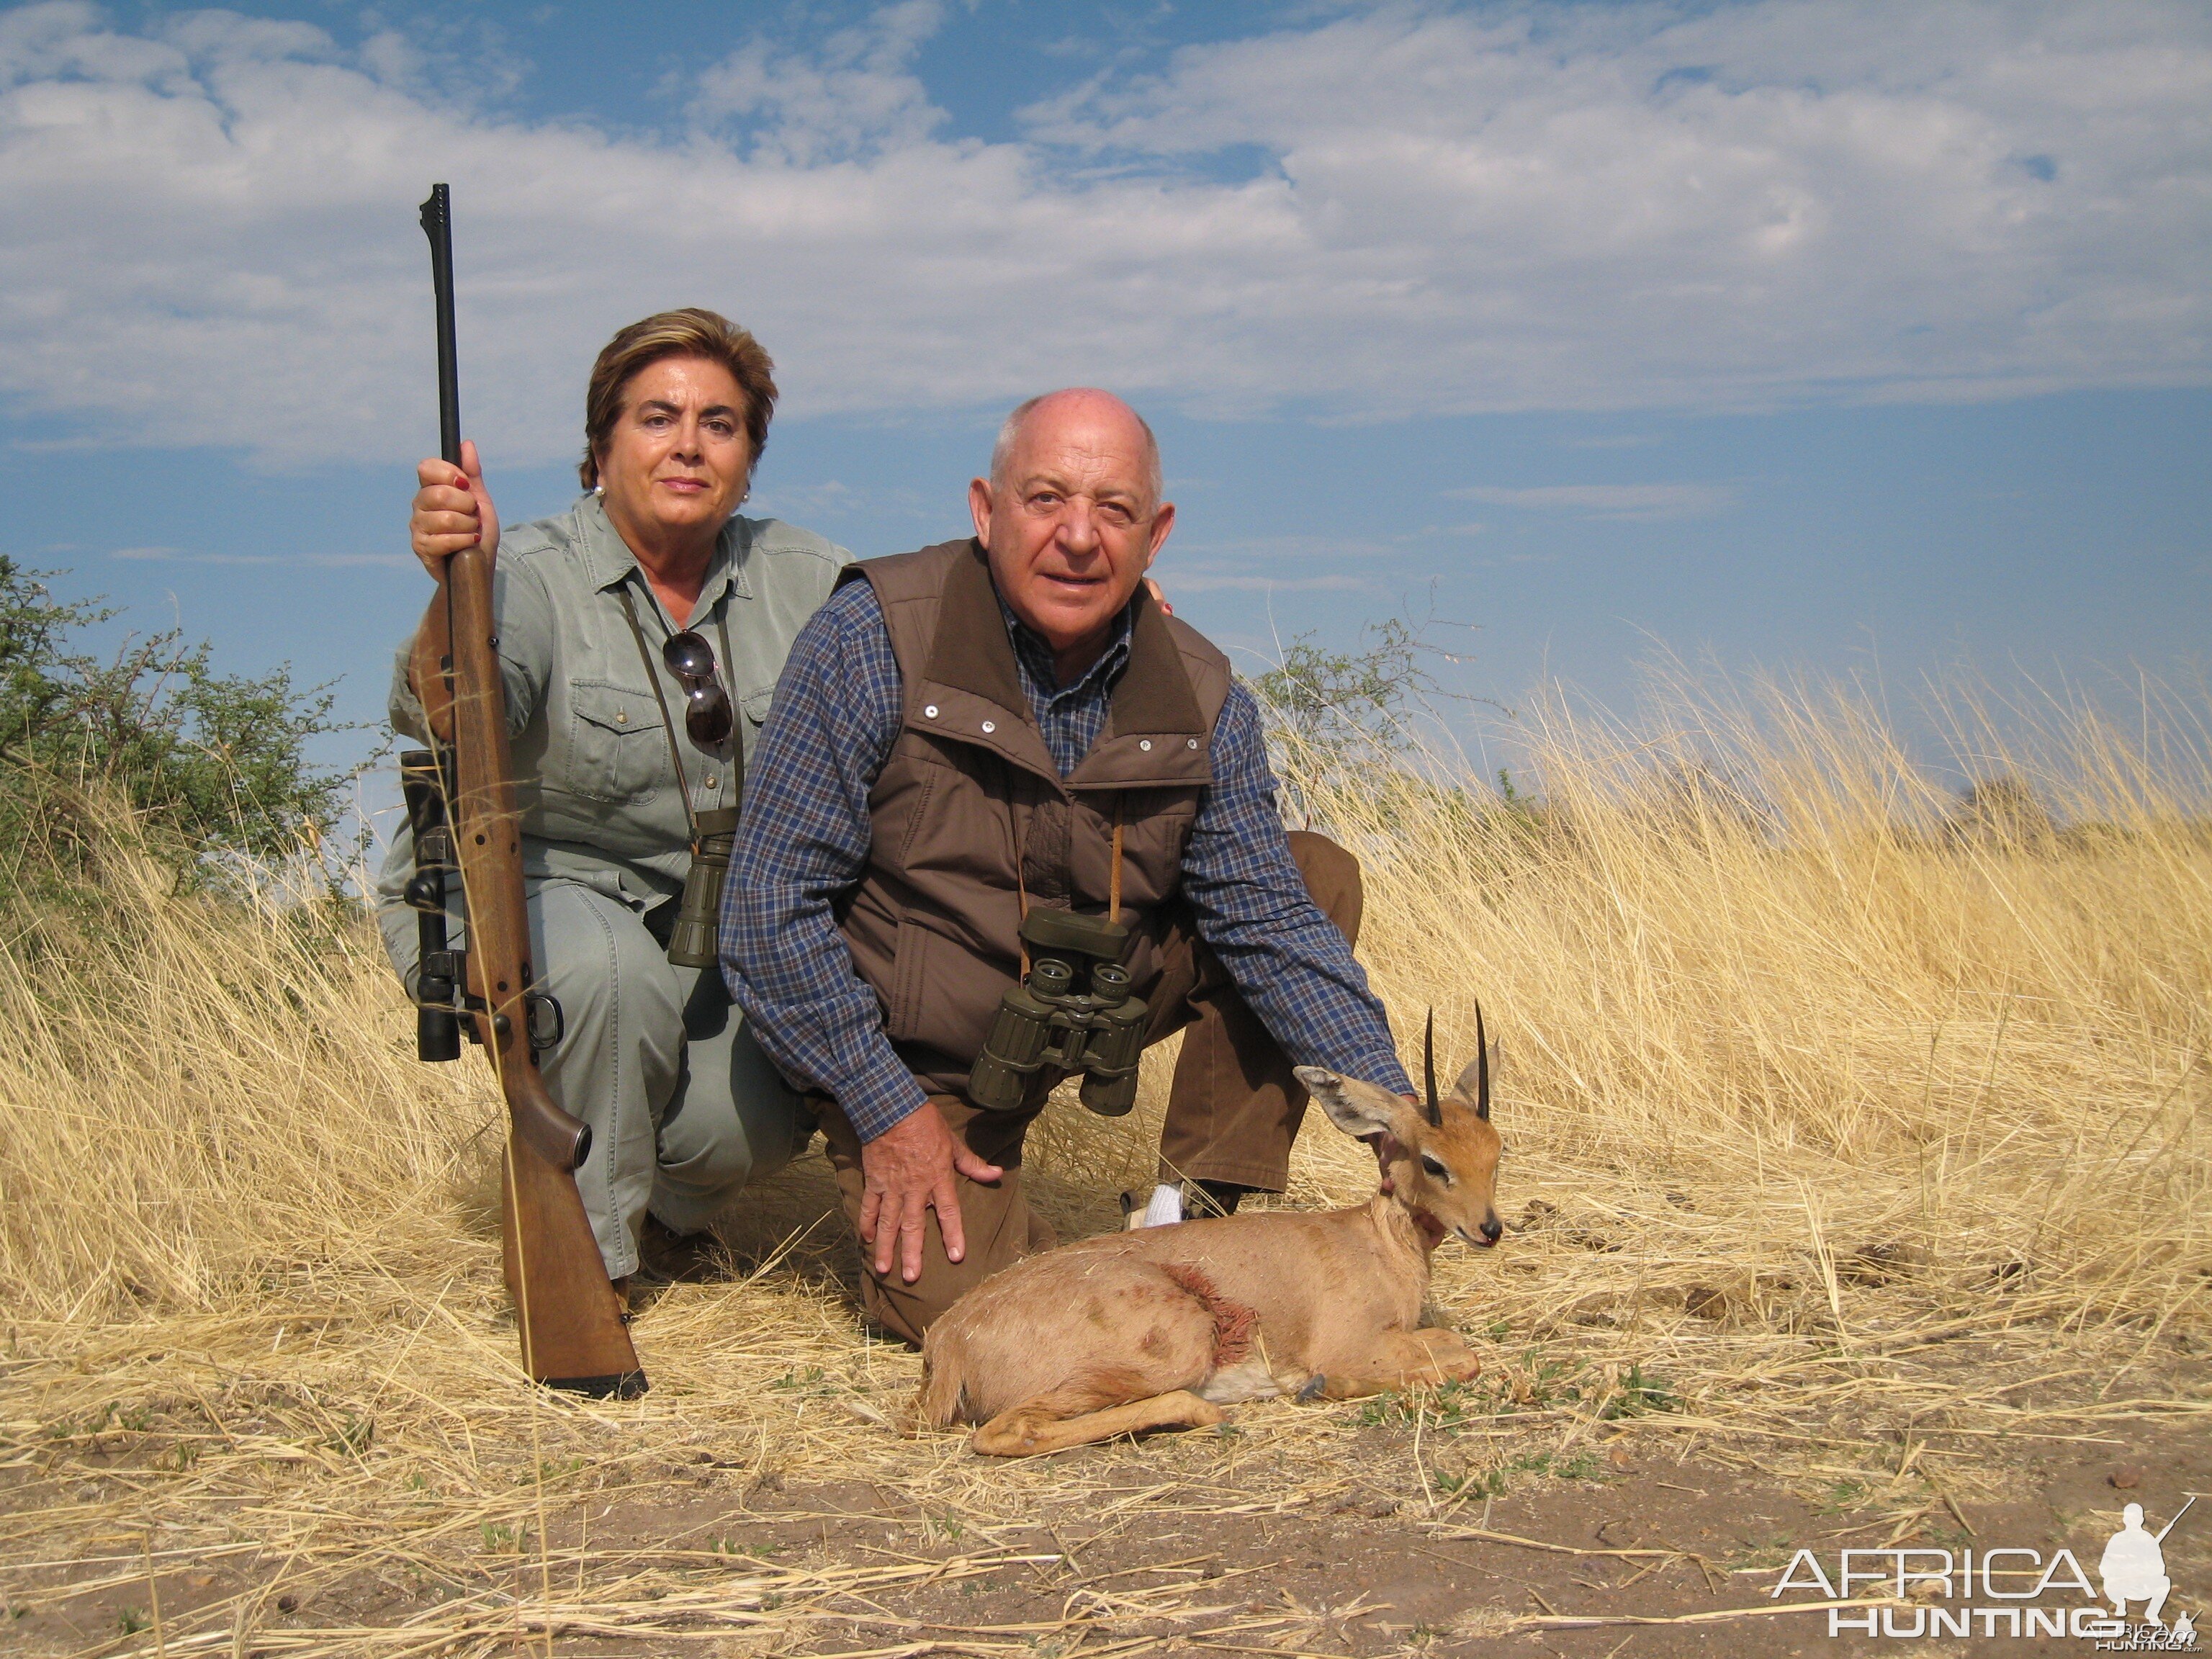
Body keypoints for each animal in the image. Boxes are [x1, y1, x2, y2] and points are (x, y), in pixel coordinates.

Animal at [915, 1012, 1503, 1451]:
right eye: (1432, 1161)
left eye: (1496, 1152)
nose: (1489, 1229)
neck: (1375, 1242)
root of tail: (948, 1342)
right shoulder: (1355, 1344)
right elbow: (1463, 1354)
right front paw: (1319, 1386)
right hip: (1178, 1347)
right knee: (1009, 1430)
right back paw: (1208, 1412)